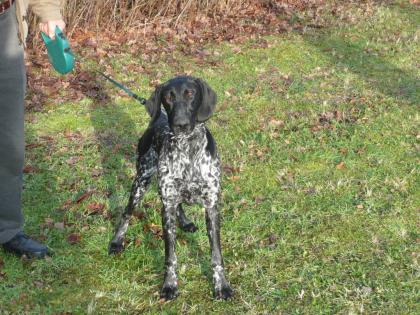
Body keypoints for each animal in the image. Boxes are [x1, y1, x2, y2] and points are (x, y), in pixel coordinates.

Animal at [108, 76, 233, 302]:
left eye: (191, 94)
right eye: (168, 97)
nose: (180, 124)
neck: (188, 150)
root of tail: (159, 118)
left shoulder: (212, 207)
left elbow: (216, 256)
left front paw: (221, 286)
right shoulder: (166, 208)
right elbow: (170, 256)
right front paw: (169, 284)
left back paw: (185, 222)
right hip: (141, 181)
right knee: (127, 213)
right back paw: (117, 241)